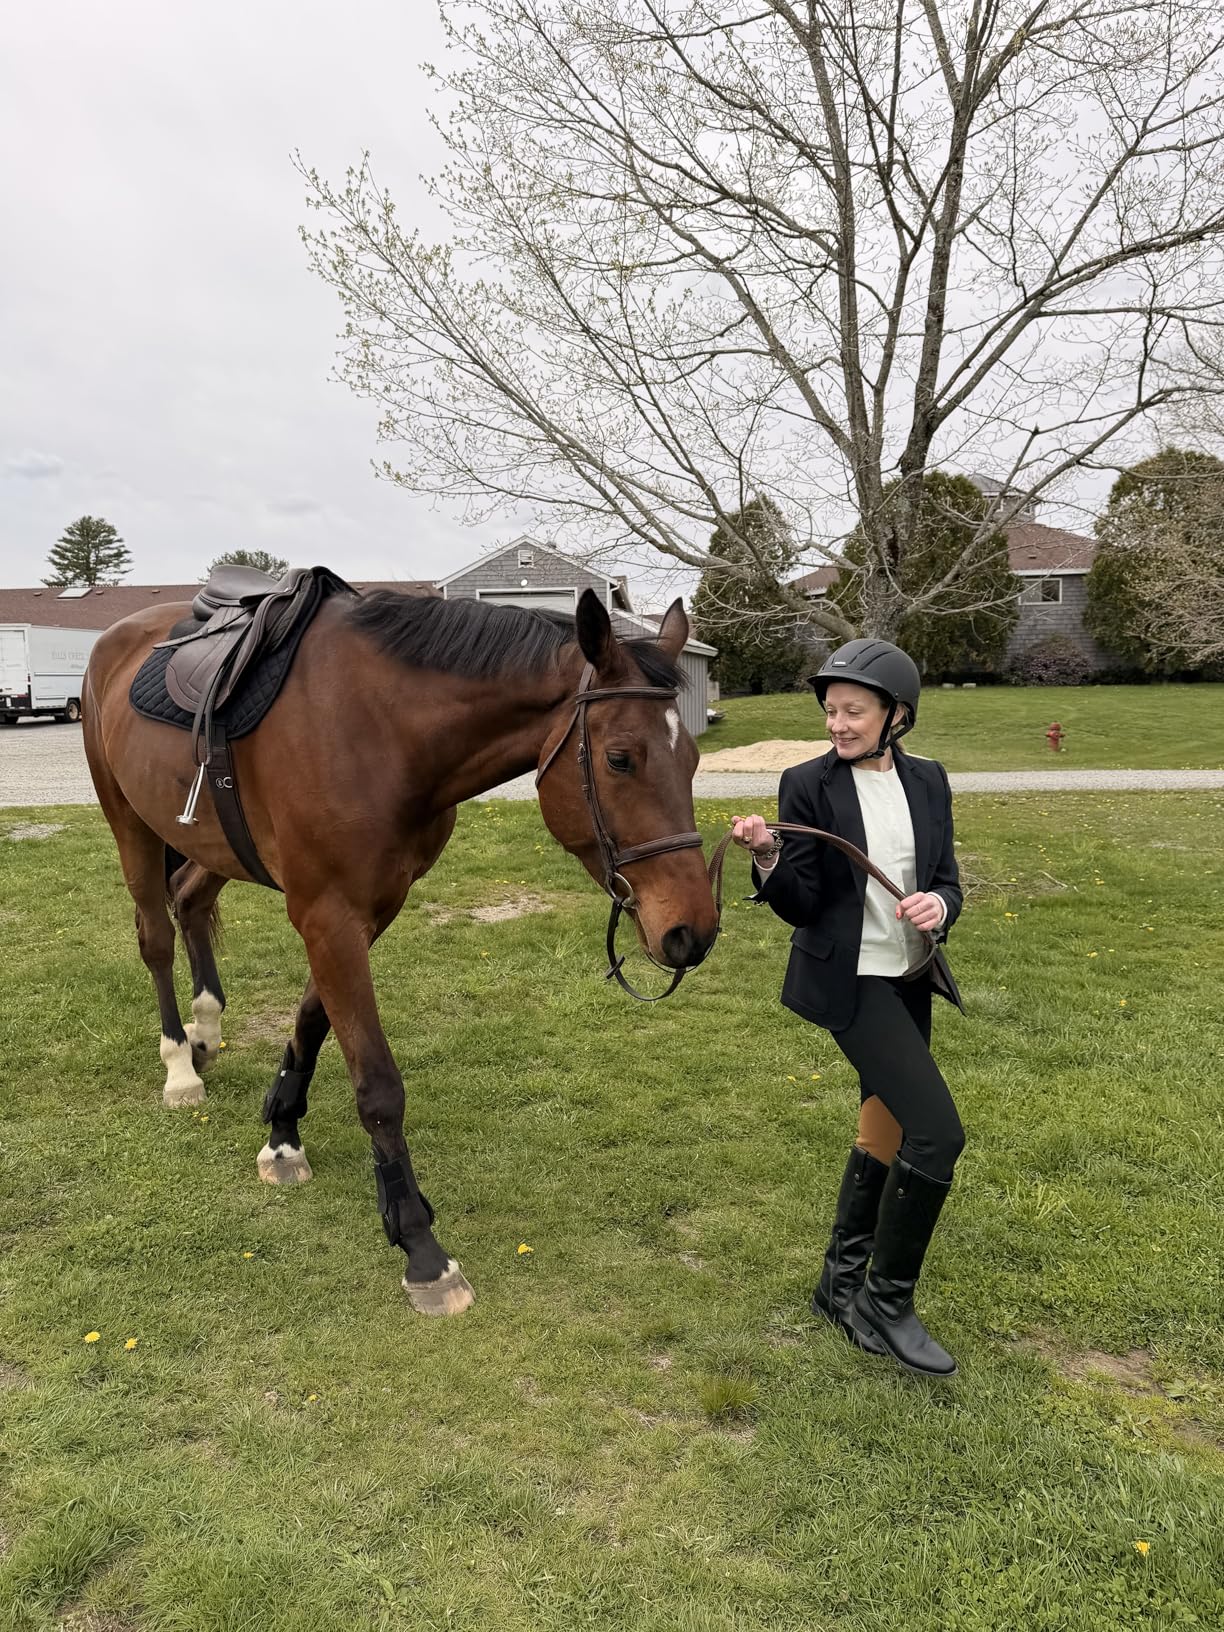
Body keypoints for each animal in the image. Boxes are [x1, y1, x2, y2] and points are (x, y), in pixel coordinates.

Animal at [81, 585, 719, 1315]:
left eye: (693, 761)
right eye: (620, 758)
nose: (693, 932)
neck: (383, 731)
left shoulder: (365, 911)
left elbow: (312, 1020)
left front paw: (282, 1133)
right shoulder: (329, 915)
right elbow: (379, 1085)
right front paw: (419, 1246)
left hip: (210, 846)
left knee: (188, 901)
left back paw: (205, 1029)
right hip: (129, 824)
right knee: (155, 936)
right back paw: (179, 1066)